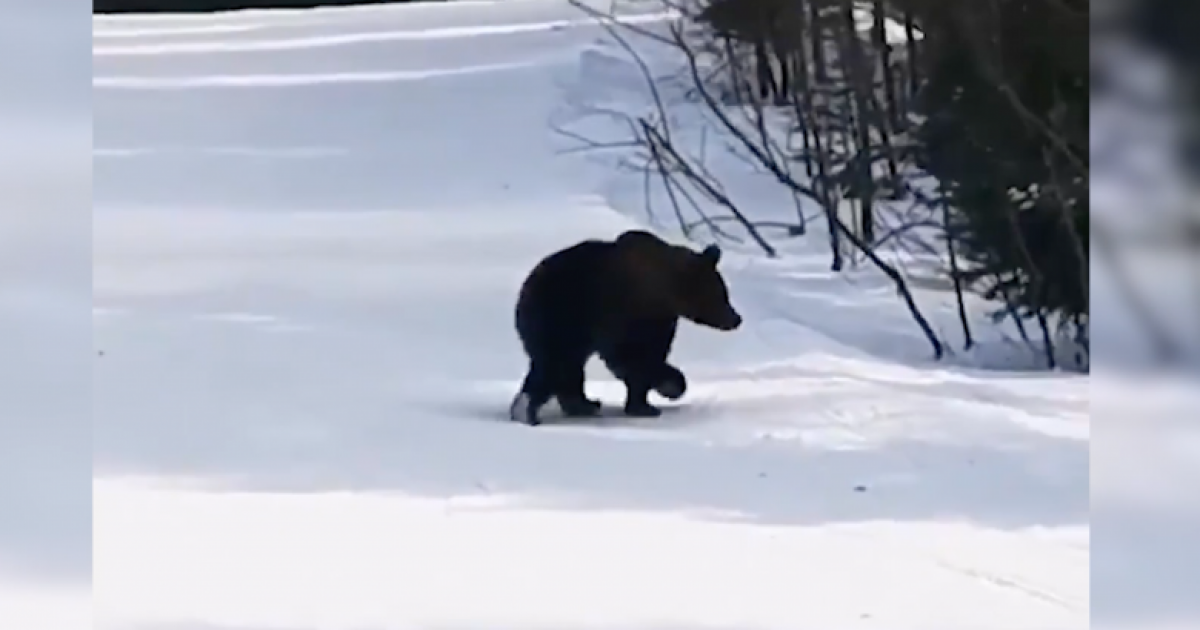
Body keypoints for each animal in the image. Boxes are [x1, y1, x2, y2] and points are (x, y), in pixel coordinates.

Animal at [509, 229, 742, 425]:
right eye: (721, 294)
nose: (736, 318)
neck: (662, 292)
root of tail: (527, 287)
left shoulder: (660, 321)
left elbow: (650, 353)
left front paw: (644, 404)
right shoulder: (619, 311)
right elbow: (628, 356)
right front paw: (670, 384)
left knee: (565, 366)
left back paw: (583, 404)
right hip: (562, 315)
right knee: (558, 363)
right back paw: (531, 411)